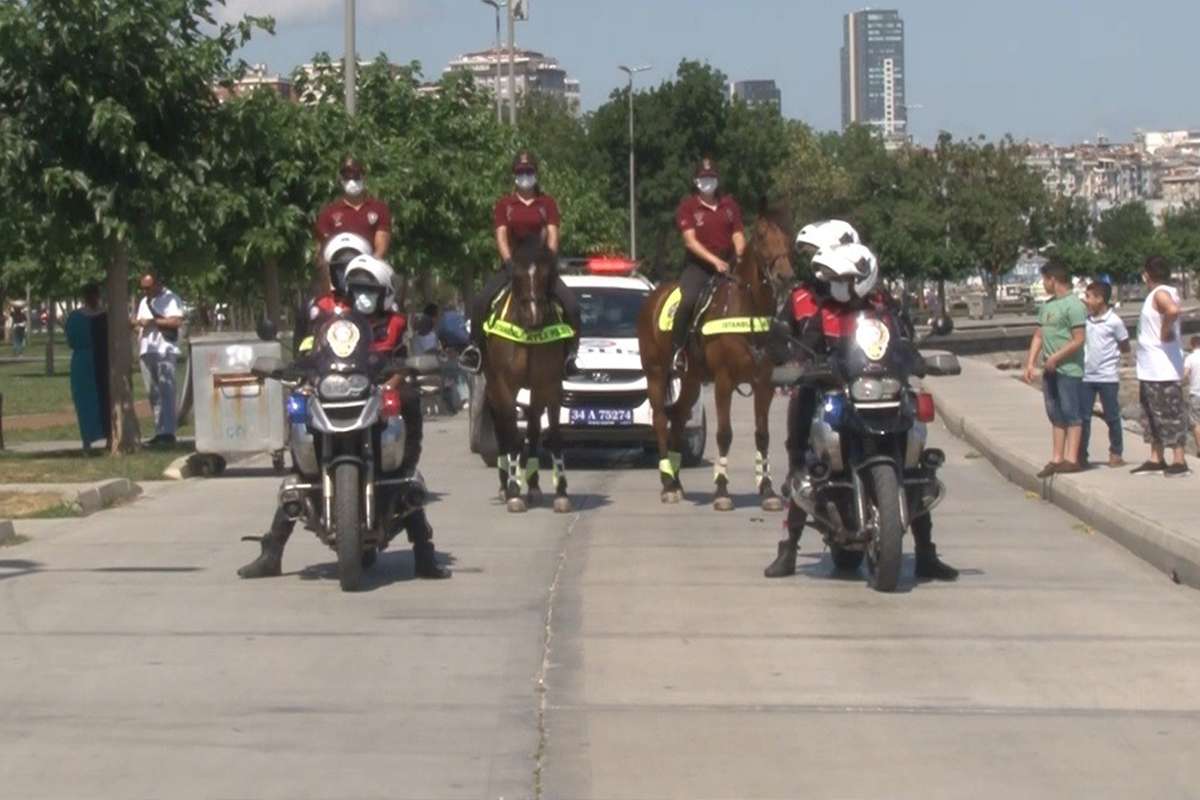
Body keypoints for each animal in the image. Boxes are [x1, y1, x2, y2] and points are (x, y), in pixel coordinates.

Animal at [477, 239, 571, 513]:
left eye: (546, 274)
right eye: (516, 275)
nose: (534, 316)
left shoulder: (550, 384)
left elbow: (552, 434)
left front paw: (561, 491)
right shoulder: (504, 386)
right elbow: (511, 437)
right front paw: (513, 491)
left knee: (533, 429)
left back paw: (535, 486)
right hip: (494, 389)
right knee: (503, 430)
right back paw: (505, 485)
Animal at [638, 211, 796, 513]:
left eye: (788, 237)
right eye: (762, 238)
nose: (785, 276)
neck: (748, 310)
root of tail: (654, 296)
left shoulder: (764, 384)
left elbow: (763, 434)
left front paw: (767, 490)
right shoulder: (724, 381)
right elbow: (724, 433)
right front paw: (722, 490)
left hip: (691, 380)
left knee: (679, 417)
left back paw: (677, 481)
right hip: (656, 373)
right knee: (661, 419)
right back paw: (667, 484)